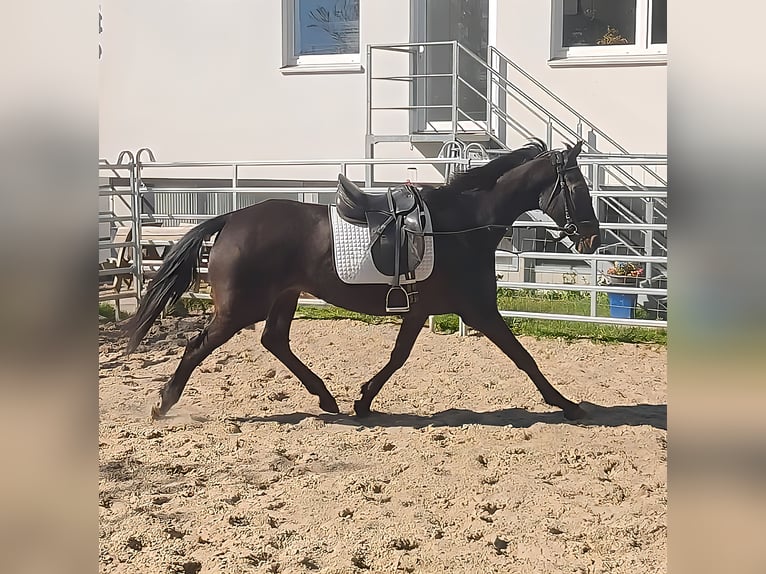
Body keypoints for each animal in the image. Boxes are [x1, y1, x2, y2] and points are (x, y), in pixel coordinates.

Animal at [123, 139, 601, 421]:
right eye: (578, 187)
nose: (593, 236)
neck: (462, 225)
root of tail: (231, 218)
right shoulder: (479, 309)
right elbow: (524, 357)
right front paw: (565, 404)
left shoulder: (423, 310)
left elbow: (398, 356)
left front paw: (363, 399)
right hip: (242, 308)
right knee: (197, 346)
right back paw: (164, 402)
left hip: (284, 298)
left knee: (275, 341)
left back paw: (326, 399)